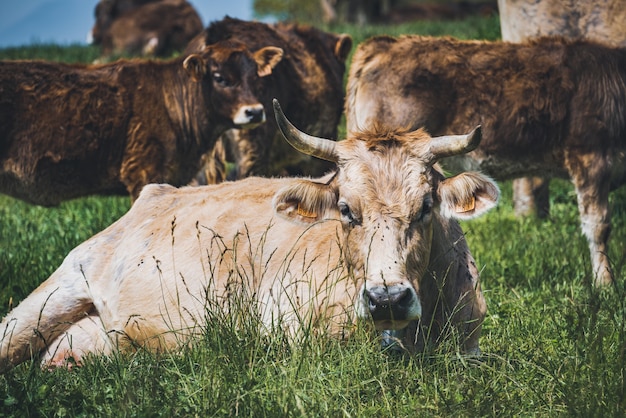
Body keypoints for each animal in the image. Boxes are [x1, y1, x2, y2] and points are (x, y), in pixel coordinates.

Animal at [0, 101, 498, 372]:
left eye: (426, 206)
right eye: (345, 210)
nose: (387, 299)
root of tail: (155, 195)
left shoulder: (471, 346)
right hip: (53, 294)